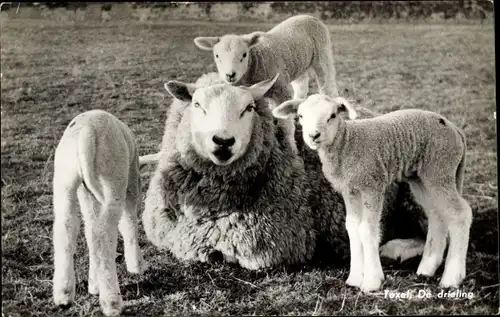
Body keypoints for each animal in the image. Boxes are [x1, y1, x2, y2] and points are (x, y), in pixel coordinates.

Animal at [52, 108, 146, 314]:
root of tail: (86, 132)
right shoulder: (131, 184)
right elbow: (129, 224)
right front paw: (136, 266)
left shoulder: (87, 194)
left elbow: (89, 230)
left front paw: (94, 285)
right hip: (113, 178)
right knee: (104, 235)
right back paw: (112, 302)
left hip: (65, 180)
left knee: (67, 230)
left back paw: (64, 295)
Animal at [274, 93, 472, 292]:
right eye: (301, 116)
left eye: (332, 115)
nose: (313, 135)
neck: (346, 143)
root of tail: (456, 130)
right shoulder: (350, 190)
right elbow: (352, 227)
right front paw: (354, 278)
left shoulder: (372, 185)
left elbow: (367, 229)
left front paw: (372, 281)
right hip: (420, 178)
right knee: (436, 214)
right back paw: (427, 268)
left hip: (439, 169)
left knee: (460, 214)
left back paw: (452, 277)